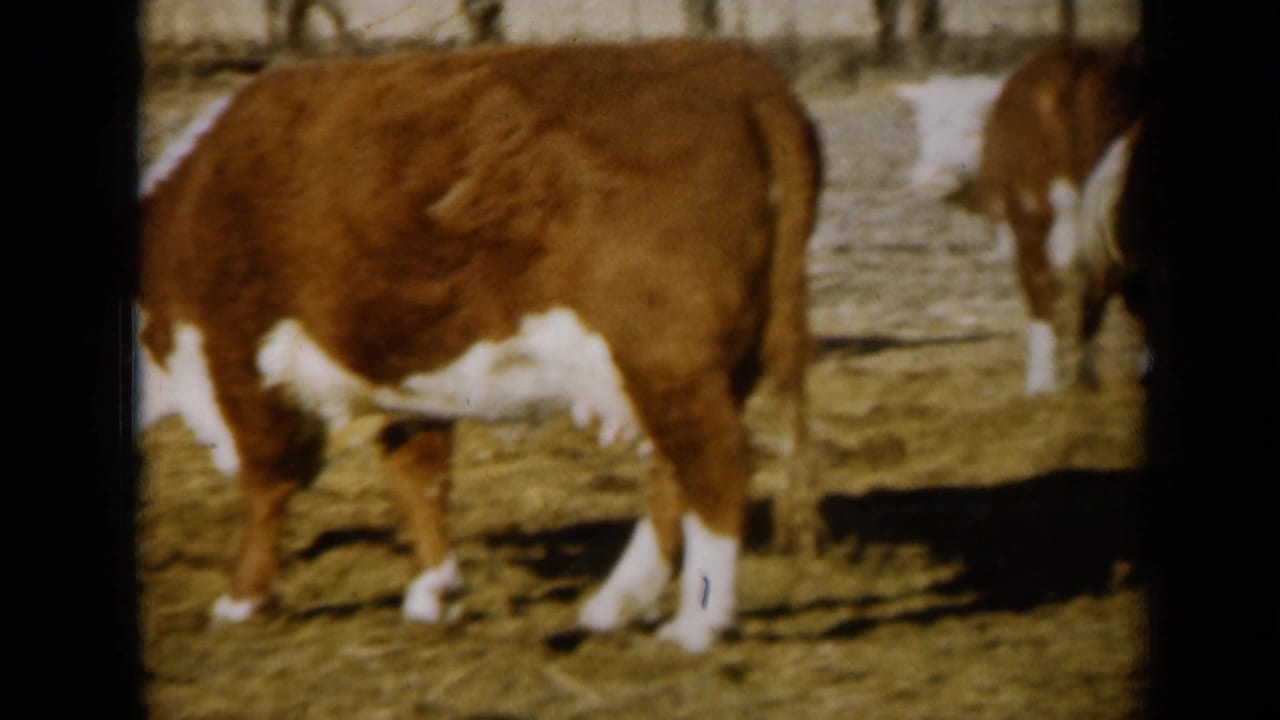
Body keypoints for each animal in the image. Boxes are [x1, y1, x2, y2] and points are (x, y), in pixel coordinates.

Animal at [136, 40, 822, 654]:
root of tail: (738, 68)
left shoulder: (234, 357)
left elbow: (267, 484)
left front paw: (242, 600)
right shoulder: (404, 376)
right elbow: (419, 479)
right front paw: (435, 593)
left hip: (667, 356)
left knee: (716, 466)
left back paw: (696, 627)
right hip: (680, 367)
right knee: (671, 472)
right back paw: (612, 607)